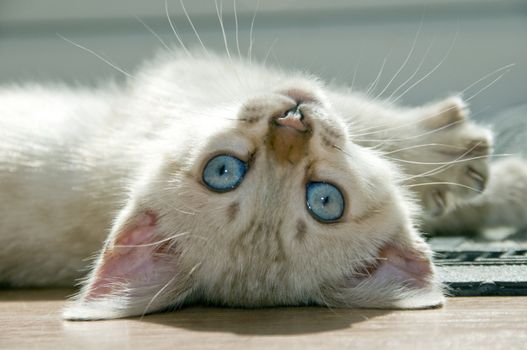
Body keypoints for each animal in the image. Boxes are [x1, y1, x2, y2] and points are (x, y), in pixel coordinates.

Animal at [0, 51, 524, 320]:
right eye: (223, 172)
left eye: (324, 200)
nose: (291, 125)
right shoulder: (188, 76)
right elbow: (369, 121)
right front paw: (456, 151)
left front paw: (500, 189)